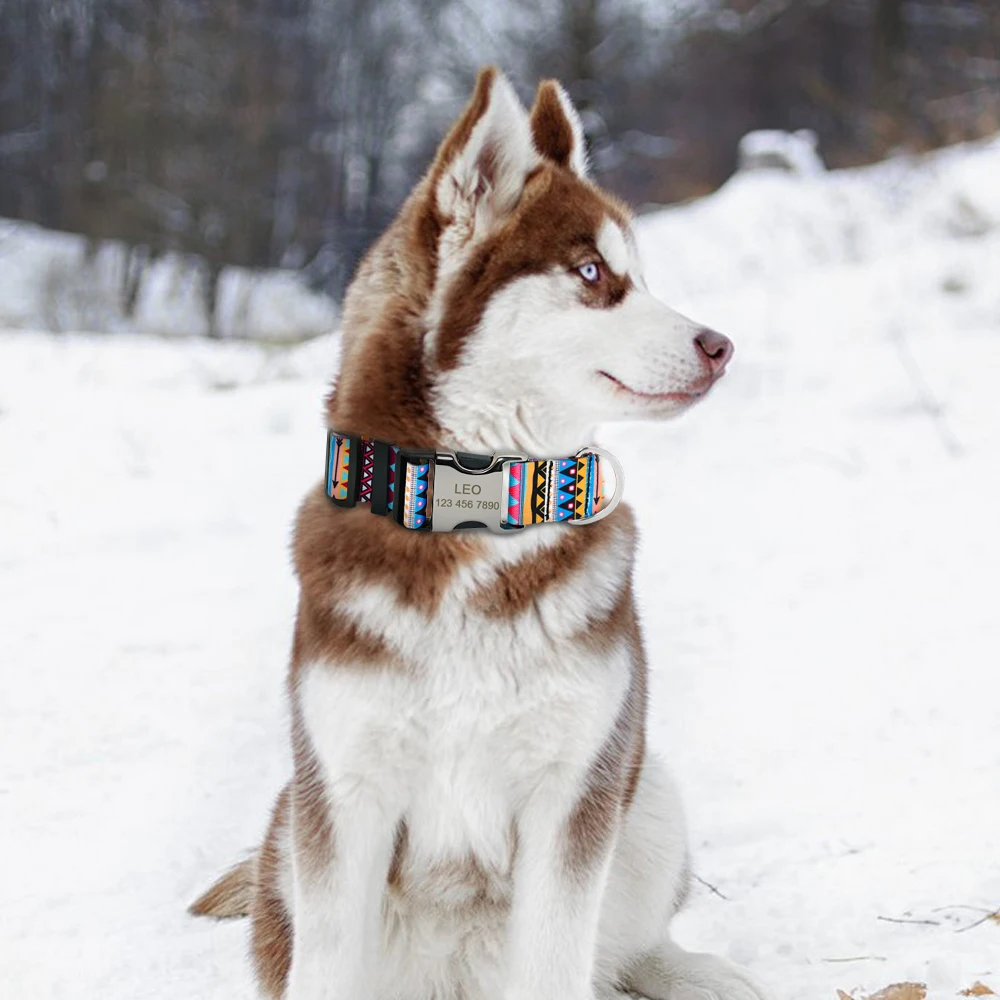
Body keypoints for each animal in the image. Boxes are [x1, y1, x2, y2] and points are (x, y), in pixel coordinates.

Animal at [193, 70, 772, 1000]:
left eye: (639, 275)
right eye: (591, 272)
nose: (720, 345)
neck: (473, 501)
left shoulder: (574, 790)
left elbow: (559, 959)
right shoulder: (342, 796)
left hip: (646, 796)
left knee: (632, 945)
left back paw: (701, 973)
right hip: (289, 824)